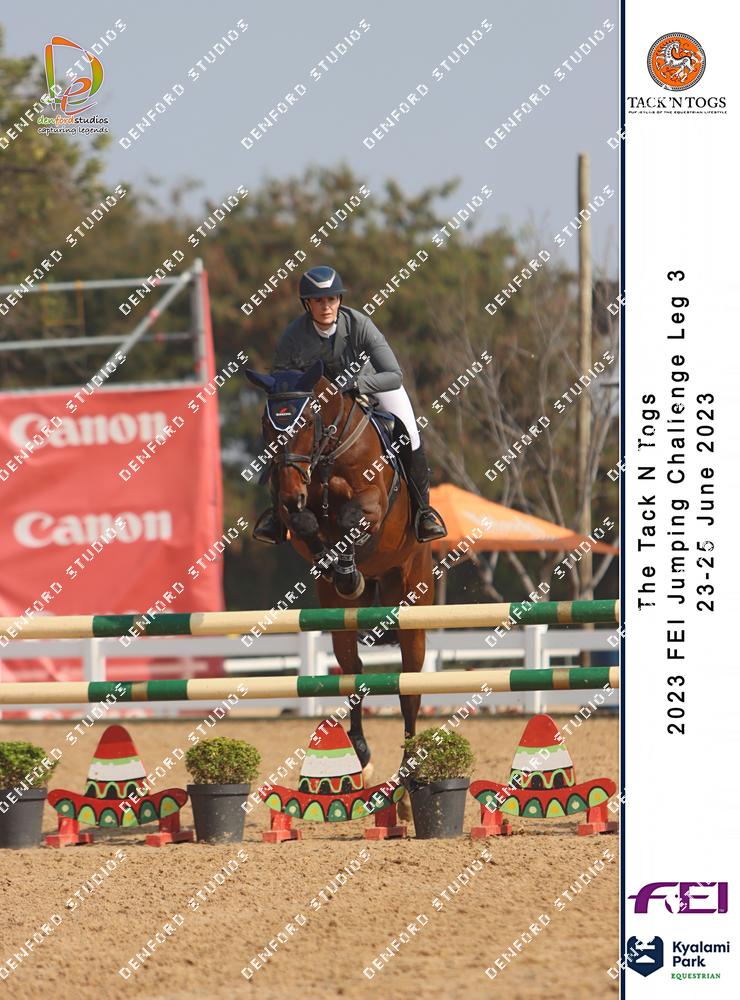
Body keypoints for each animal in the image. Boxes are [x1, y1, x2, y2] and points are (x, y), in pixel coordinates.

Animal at [245, 361, 434, 776]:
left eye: (304, 423)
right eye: (266, 425)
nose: (291, 492)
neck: (328, 455)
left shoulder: (373, 503)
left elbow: (352, 516)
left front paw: (345, 564)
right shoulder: (294, 512)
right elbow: (305, 524)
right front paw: (336, 566)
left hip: (413, 597)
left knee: (409, 685)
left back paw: (410, 765)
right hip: (340, 617)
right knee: (353, 673)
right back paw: (360, 751)